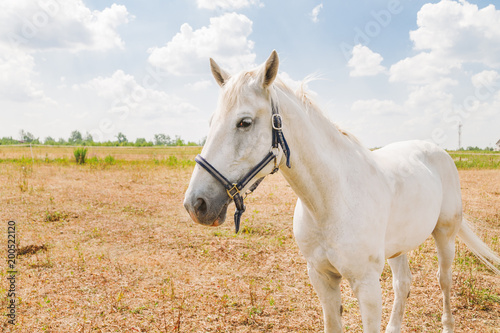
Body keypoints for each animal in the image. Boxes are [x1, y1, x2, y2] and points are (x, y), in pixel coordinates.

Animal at [185, 50, 500, 330]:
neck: (331, 201)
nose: (196, 204)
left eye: (245, 122)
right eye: (211, 122)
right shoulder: (321, 277)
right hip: (399, 247)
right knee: (403, 284)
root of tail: (438, 151)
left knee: (443, 280)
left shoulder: (367, 285)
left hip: (445, 235)